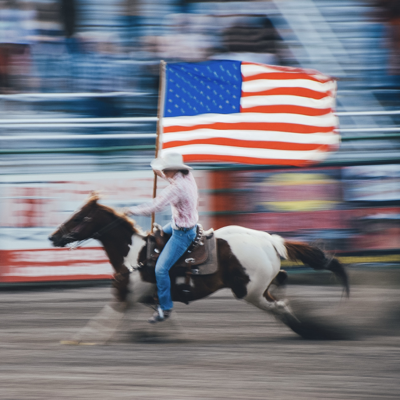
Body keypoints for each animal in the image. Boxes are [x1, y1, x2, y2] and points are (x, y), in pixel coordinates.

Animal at [48, 192, 350, 342]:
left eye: (80, 217)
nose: (53, 237)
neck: (134, 255)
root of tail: (270, 240)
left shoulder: (126, 296)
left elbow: (103, 319)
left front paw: (78, 340)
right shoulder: (143, 297)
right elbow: (164, 315)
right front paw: (155, 332)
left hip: (250, 291)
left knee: (280, 306)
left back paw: (308, 331)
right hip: (259, 287)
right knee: (282, 290)